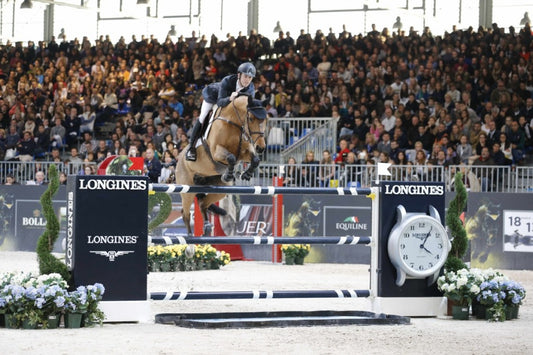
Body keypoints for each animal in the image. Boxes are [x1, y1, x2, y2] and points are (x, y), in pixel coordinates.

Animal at [175, 94, 266, 236]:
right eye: (251, 118)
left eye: (265, 119)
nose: (260, 147)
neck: (234, 124)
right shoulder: (216, 152)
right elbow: (231, 157)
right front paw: (228, 175)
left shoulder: (243, 152)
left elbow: (254, 159)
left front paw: (246, 174)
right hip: (187, 189)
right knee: (185, 213)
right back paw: (189, 236)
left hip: (218, 189)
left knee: (202, 204)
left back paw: (206, 228)